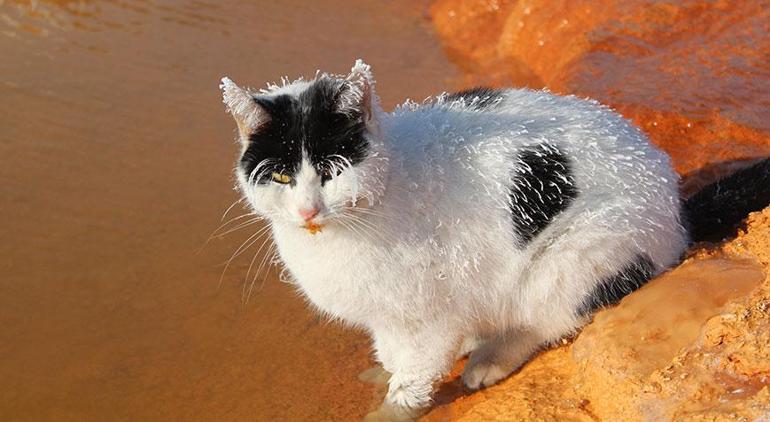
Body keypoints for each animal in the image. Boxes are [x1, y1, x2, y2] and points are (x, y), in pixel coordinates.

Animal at [219, 59, 768, 418]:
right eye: (282, 177)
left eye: (333, 172)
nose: (308, 211)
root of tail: (676, 207)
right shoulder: (387, 314)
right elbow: (392, 351)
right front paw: (385, 371)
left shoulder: (431, 312)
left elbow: (415, 374)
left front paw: (394, 405)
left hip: (574, 256)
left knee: (546, 320)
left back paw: (489, 359)